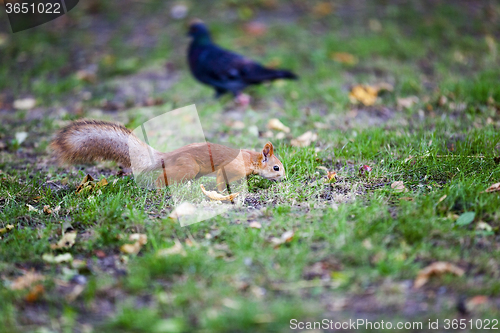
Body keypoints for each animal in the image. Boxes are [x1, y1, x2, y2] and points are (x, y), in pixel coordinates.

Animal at [51, 119, 286, 189]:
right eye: (276, 167)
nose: (284, 178)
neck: (250, 159)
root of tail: (166, 156)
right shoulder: (228, 168)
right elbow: (221, 181)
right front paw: (224, 193)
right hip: (188, 167)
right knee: (161, 178)